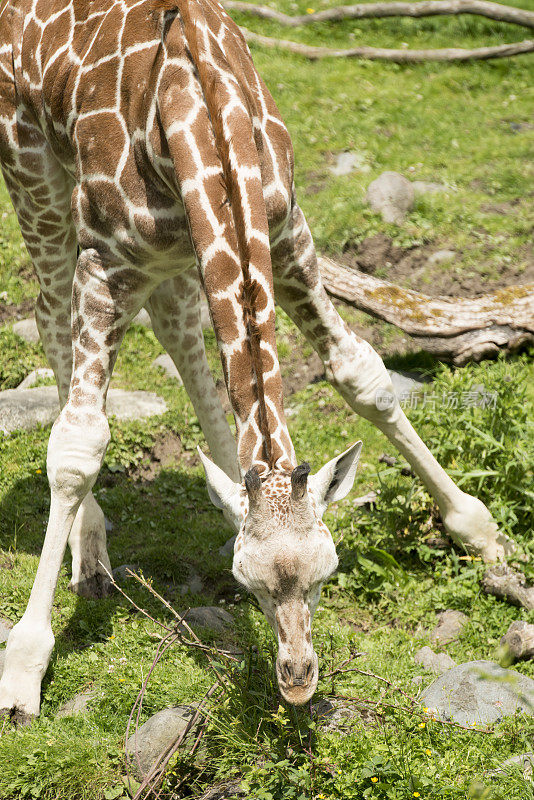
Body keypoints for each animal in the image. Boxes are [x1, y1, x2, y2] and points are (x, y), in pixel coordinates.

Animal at [0, 0, 510, 720]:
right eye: (249, 582)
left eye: (328, 570)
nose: (297, 679)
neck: (198, 119)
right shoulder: (108, 262)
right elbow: (77, 446)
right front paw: (23, 668)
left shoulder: (287, 232)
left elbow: (361, 373)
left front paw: (481, 531)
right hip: (32, 170)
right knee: (50, 317)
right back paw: (90, 550)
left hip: (171, 253)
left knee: (180, 328)